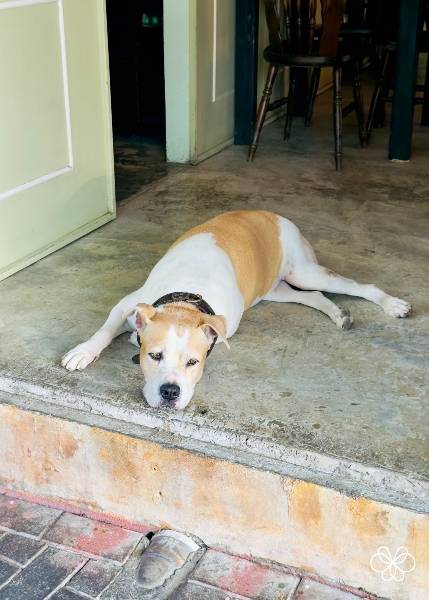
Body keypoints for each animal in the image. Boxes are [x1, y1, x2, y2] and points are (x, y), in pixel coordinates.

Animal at [61, 209, 410, 410]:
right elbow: (104, 329)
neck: (184, 300)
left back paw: (392, 304)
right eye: (154, 356)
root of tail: (274, 215)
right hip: (276, 288)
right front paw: (83, 351)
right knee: (313, 296)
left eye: (193, 362)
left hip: (304, 271)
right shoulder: (128, 305)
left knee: (355, 286)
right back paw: (339, 314)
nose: (170, 392)